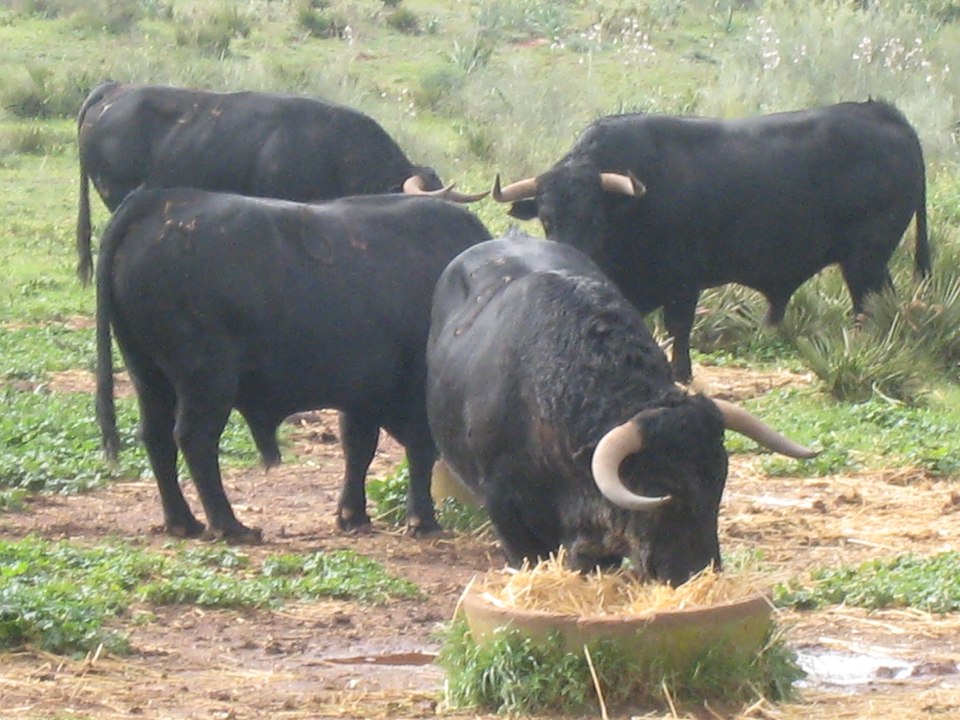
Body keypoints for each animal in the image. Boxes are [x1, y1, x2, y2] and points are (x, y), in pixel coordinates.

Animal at [95, 186, 492, 542]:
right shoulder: (414, 390)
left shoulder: (360, 396)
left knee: (156, 435)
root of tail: (161, 199)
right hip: (206, 378)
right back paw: (230, 526)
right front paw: (423, 520)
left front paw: (353, 514)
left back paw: (182, 522)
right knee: (195, 438)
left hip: (148, 374)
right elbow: (419, 452)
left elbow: (359, 449)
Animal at [492, 100, 930, 382]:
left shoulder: (683, 280)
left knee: (870, 307)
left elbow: (679, 325)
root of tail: (882, 112)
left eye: (594, 216)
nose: (567, 255)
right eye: (547, 218)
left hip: (865, 260)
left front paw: (681, 373)